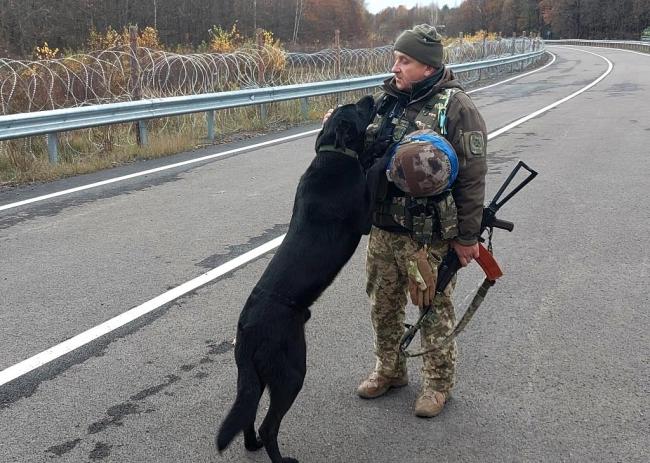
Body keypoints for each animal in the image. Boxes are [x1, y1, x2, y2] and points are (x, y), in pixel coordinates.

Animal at [218, 96, 378, 462]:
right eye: (357, 108)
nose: (372, 96)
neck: (335, 152)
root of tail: (247, 330)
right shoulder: (364, 218)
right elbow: (375, 175)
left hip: (253, 377)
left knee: (249, 414)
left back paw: (252, 445)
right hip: (291, 372)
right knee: (269, 424)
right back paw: (279, 456)